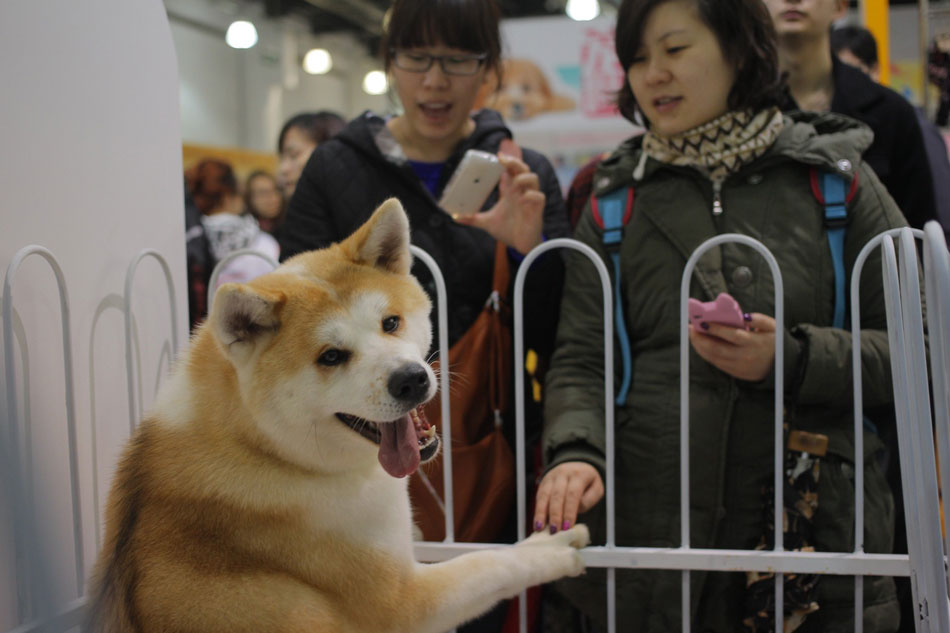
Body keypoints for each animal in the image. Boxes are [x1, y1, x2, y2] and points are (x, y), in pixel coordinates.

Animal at [85, 199, 592, 632]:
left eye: (391, 323)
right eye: (330, 357)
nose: (411, 380)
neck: (265, 453)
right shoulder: (403, 600)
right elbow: (490, 561)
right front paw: (550, 548)